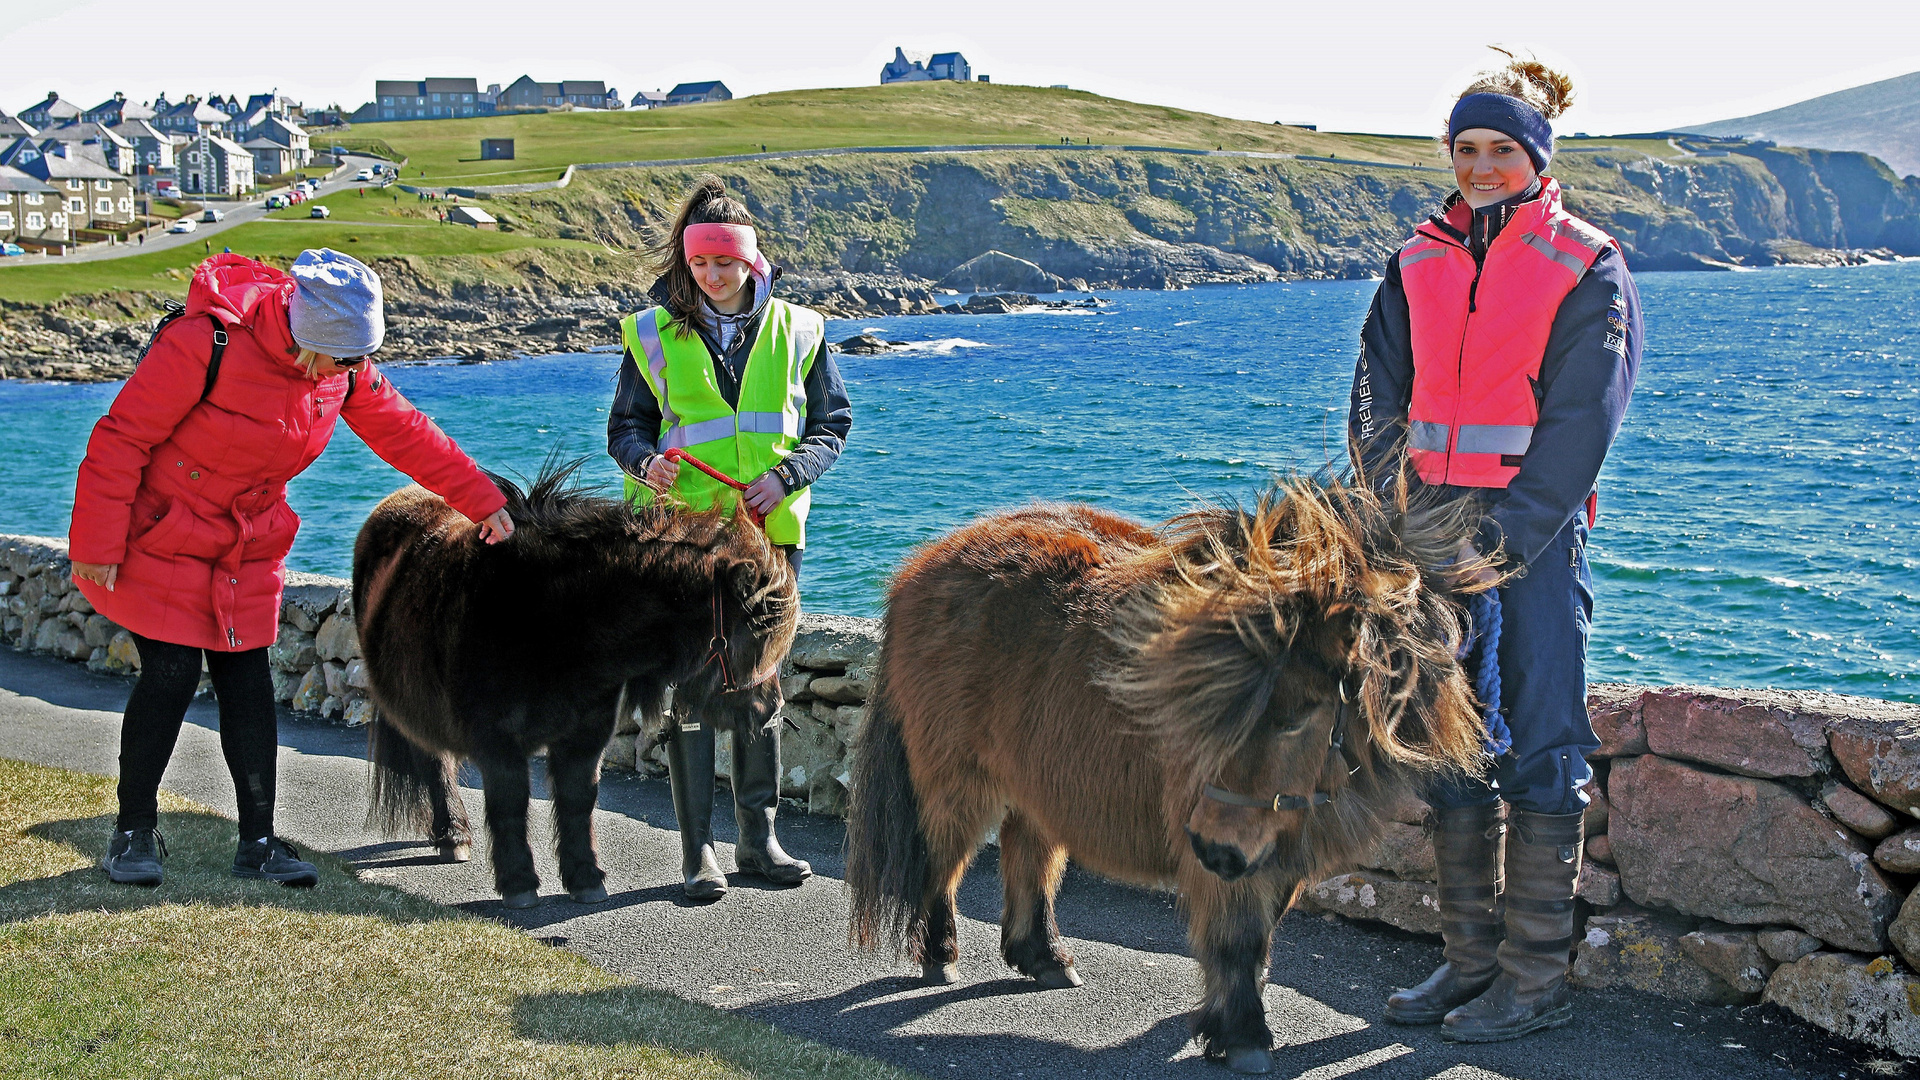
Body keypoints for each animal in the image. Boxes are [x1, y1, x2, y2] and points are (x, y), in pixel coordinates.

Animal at [355, 457, 794, 903]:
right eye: (758, 631)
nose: (770, 710)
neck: (555, 622)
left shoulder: (585, 738)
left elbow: (577, 800)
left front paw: (585, 878)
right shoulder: (497, 743)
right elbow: (510, 803)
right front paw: (519, 884)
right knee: (437, 764)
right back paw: (452, 836)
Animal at [848, 466, 1489, 1068]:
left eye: (1297, 716)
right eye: (1212, 711)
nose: (1214, 849)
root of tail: (920, 566)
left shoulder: (1280, 845)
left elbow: (1259, 940)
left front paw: (1219, 1025)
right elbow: (1237, 938)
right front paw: (1244, 1037)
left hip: (1037, 776)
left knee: (1028, 854)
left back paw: (1045, 958)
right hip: (958, 779)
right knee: (943, 860)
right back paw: (940, 955)